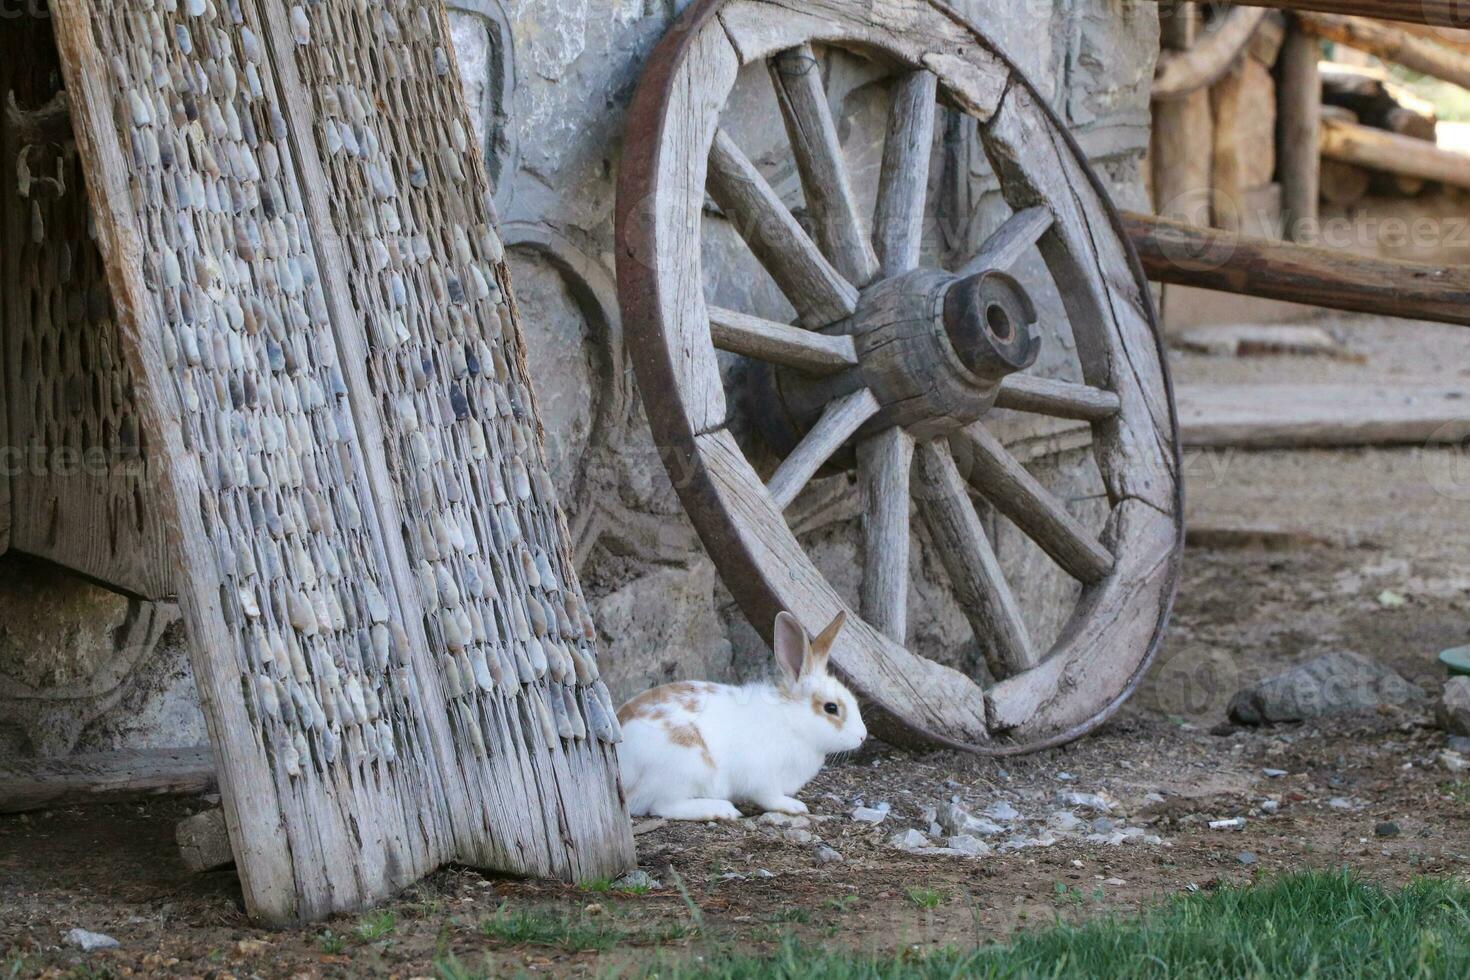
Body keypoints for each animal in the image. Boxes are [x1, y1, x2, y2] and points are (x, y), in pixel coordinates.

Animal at [614, 614, 864, 822]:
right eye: (831, 708)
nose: (862, 736)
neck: (793, 722)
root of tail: (621, 763)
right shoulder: (763, 778)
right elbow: (770, 798)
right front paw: (793, 806)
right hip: (684, 766)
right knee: (662, 806)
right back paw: (721, 810)